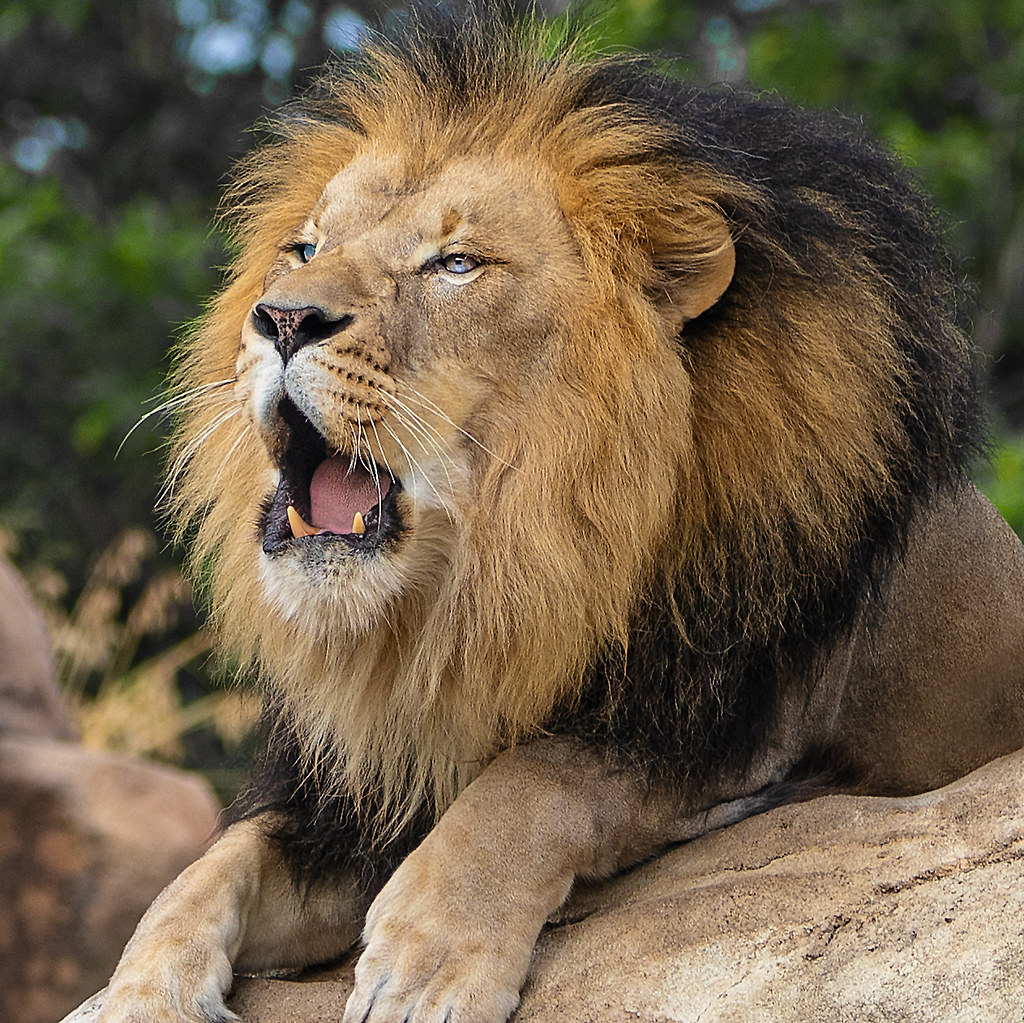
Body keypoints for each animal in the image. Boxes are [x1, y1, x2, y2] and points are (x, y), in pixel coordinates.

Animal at [77, 5, 1024, 1023]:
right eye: (305, 249)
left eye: (455, 264)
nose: (283, 319)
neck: (491, 581)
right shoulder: (365, 786)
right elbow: (214, 864)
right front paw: (135, 992)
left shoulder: (724, 729)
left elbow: (532, 780)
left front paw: (426, 963)